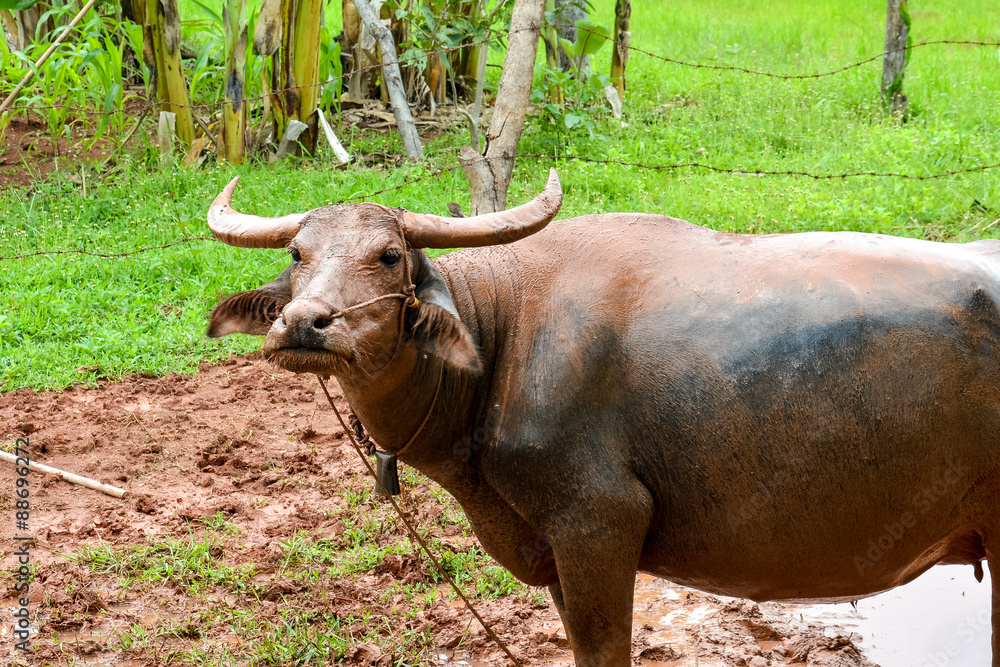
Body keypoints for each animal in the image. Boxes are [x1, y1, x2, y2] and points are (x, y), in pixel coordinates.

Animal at [205, 171, 1000, 666]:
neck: (502, 336)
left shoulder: (598, 523)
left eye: (390, 254)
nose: (304, 324)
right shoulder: (556, 545)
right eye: (298, 253)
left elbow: (603, 648)